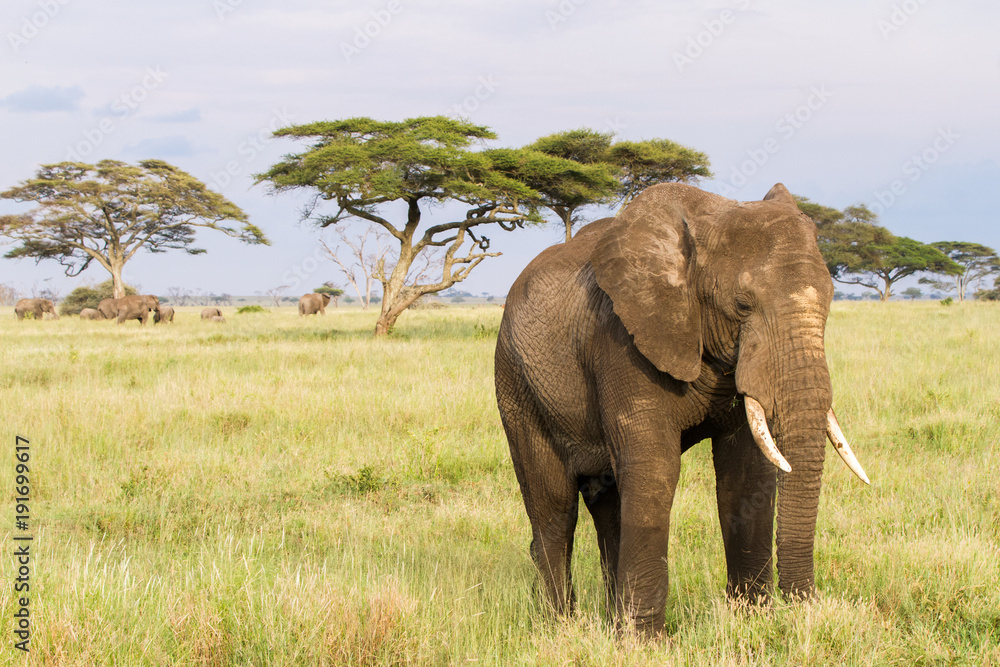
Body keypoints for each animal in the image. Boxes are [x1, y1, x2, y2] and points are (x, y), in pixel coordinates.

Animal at [494, 183, 870, 636]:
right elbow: (655, 467)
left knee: (609, 506)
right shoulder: (622, 341)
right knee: (554, 509)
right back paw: (560, 626)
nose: (806, 606)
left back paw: (610, 622)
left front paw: (754, 623)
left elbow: (746, 472)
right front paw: (646, 643)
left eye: (832, 299)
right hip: (516, 383)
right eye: (742, 305)